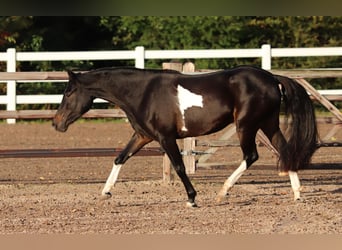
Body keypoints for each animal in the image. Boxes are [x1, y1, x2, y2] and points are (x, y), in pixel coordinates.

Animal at [51, 66, 318, 207]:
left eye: (69, 92)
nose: (56, 123)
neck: (143, 93)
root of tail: (271, 78)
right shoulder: (143, 136)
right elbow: (120, 158)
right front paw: (106, 191)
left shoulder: (165, 138)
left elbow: (179, 167)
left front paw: (192, 198)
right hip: (268, 123)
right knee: (285, 150)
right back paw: (297, 194)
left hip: (247, 125)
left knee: (251, 156)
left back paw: (223, 192)